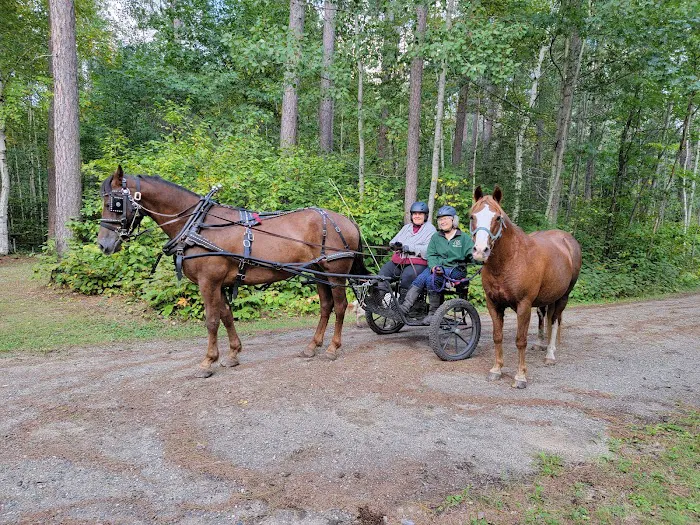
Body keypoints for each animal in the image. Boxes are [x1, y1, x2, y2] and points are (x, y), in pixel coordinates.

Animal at [97, 166, 367, 378]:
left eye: (115, 203)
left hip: (335, 271)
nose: (103, 244)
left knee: (340, 306)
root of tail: (347, 221)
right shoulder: (219, 283)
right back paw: (312, 346)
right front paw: (233, 354)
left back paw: (332, 348)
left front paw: (207, 362)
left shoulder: (208, 282)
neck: (197, 224)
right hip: (318, 271)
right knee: (325, 306)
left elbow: (211, 320)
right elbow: (226, 316)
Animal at [469, 186, 582, 388]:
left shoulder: (523, 305)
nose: (481, 251)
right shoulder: (493, 304)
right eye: (472, 216)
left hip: (563, 296)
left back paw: (550, 354)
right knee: (544, 317)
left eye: (498, 218)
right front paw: (496, 370)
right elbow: (498, 336)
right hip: (546, 298)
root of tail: (567, 240)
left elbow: (520, 341)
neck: (510, 260)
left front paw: (520, 376)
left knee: (555, 320)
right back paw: (540, 344)